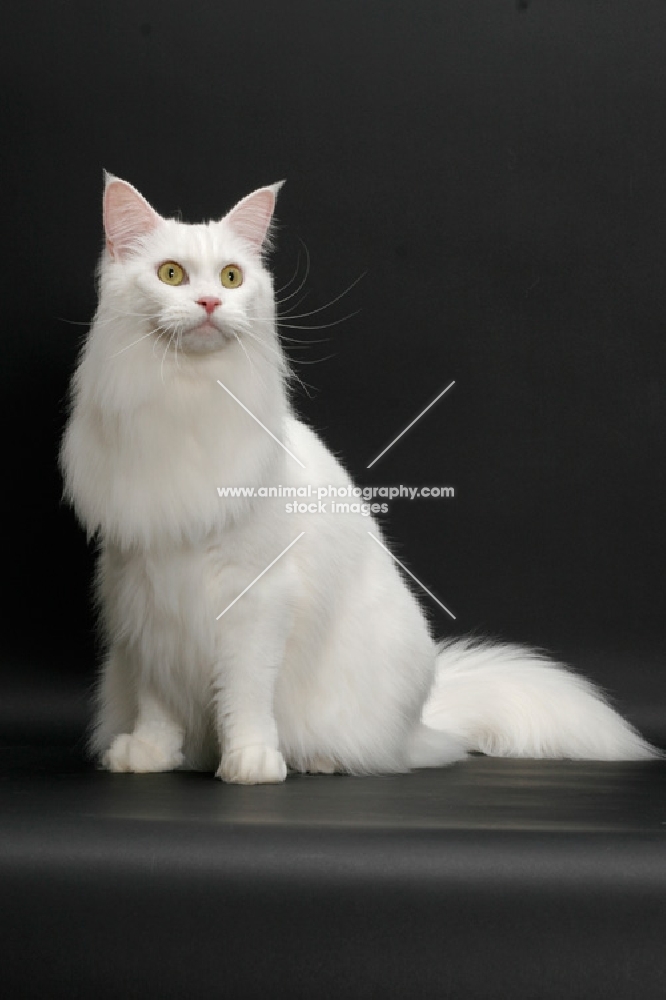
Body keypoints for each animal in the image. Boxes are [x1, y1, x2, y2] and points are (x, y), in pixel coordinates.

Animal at [59, 178, 656, 780]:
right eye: (171, 274)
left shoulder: (256, 597)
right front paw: (150, 753)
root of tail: (421, 724)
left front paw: (251, 760)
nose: (210, 303)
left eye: (231, 278)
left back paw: (318, 759)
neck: (187, 403)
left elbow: (245, 694)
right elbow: (158, 698)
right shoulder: (145, 598)